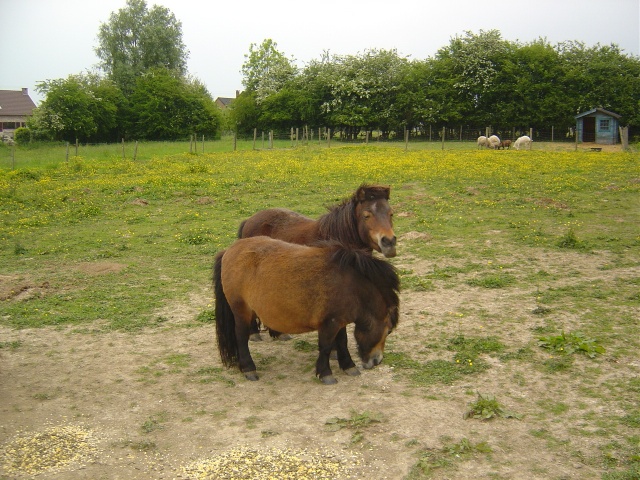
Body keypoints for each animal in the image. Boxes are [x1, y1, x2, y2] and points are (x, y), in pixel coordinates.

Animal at [212, 234, 398, 384]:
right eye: (388, 331)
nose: (377, 361)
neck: (350, 285)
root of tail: (228, 251)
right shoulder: (329, 324)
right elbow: (325, 347)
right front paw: (325, 373)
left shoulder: (340, 322)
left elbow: (342, 343)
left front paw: (348, 366)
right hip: (241, 311)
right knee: (241, 337)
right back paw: (249, 368)